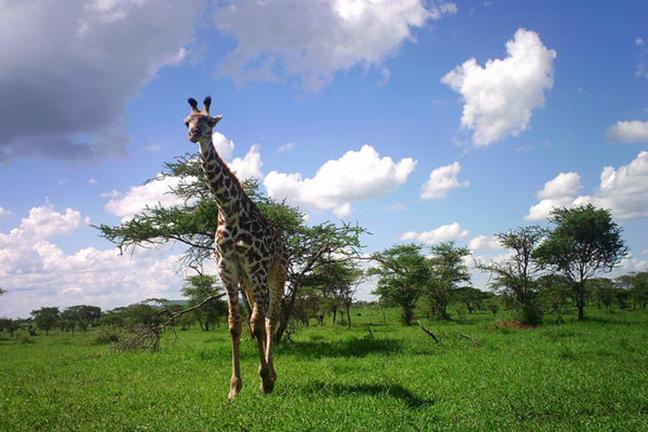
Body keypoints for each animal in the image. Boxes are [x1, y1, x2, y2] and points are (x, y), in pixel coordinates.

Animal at [184, 96, 288, 399]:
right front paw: (234, 388)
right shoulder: (227, 270)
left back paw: (271, 374)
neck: (229, 212)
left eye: (209, 121)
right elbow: (234, 325)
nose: (193, 134)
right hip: (249, 282)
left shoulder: (256, 266)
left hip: (275, 274)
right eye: (186, 121)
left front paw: (265, 380)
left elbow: (256, 323)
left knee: (270, 319)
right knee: (260, 319)